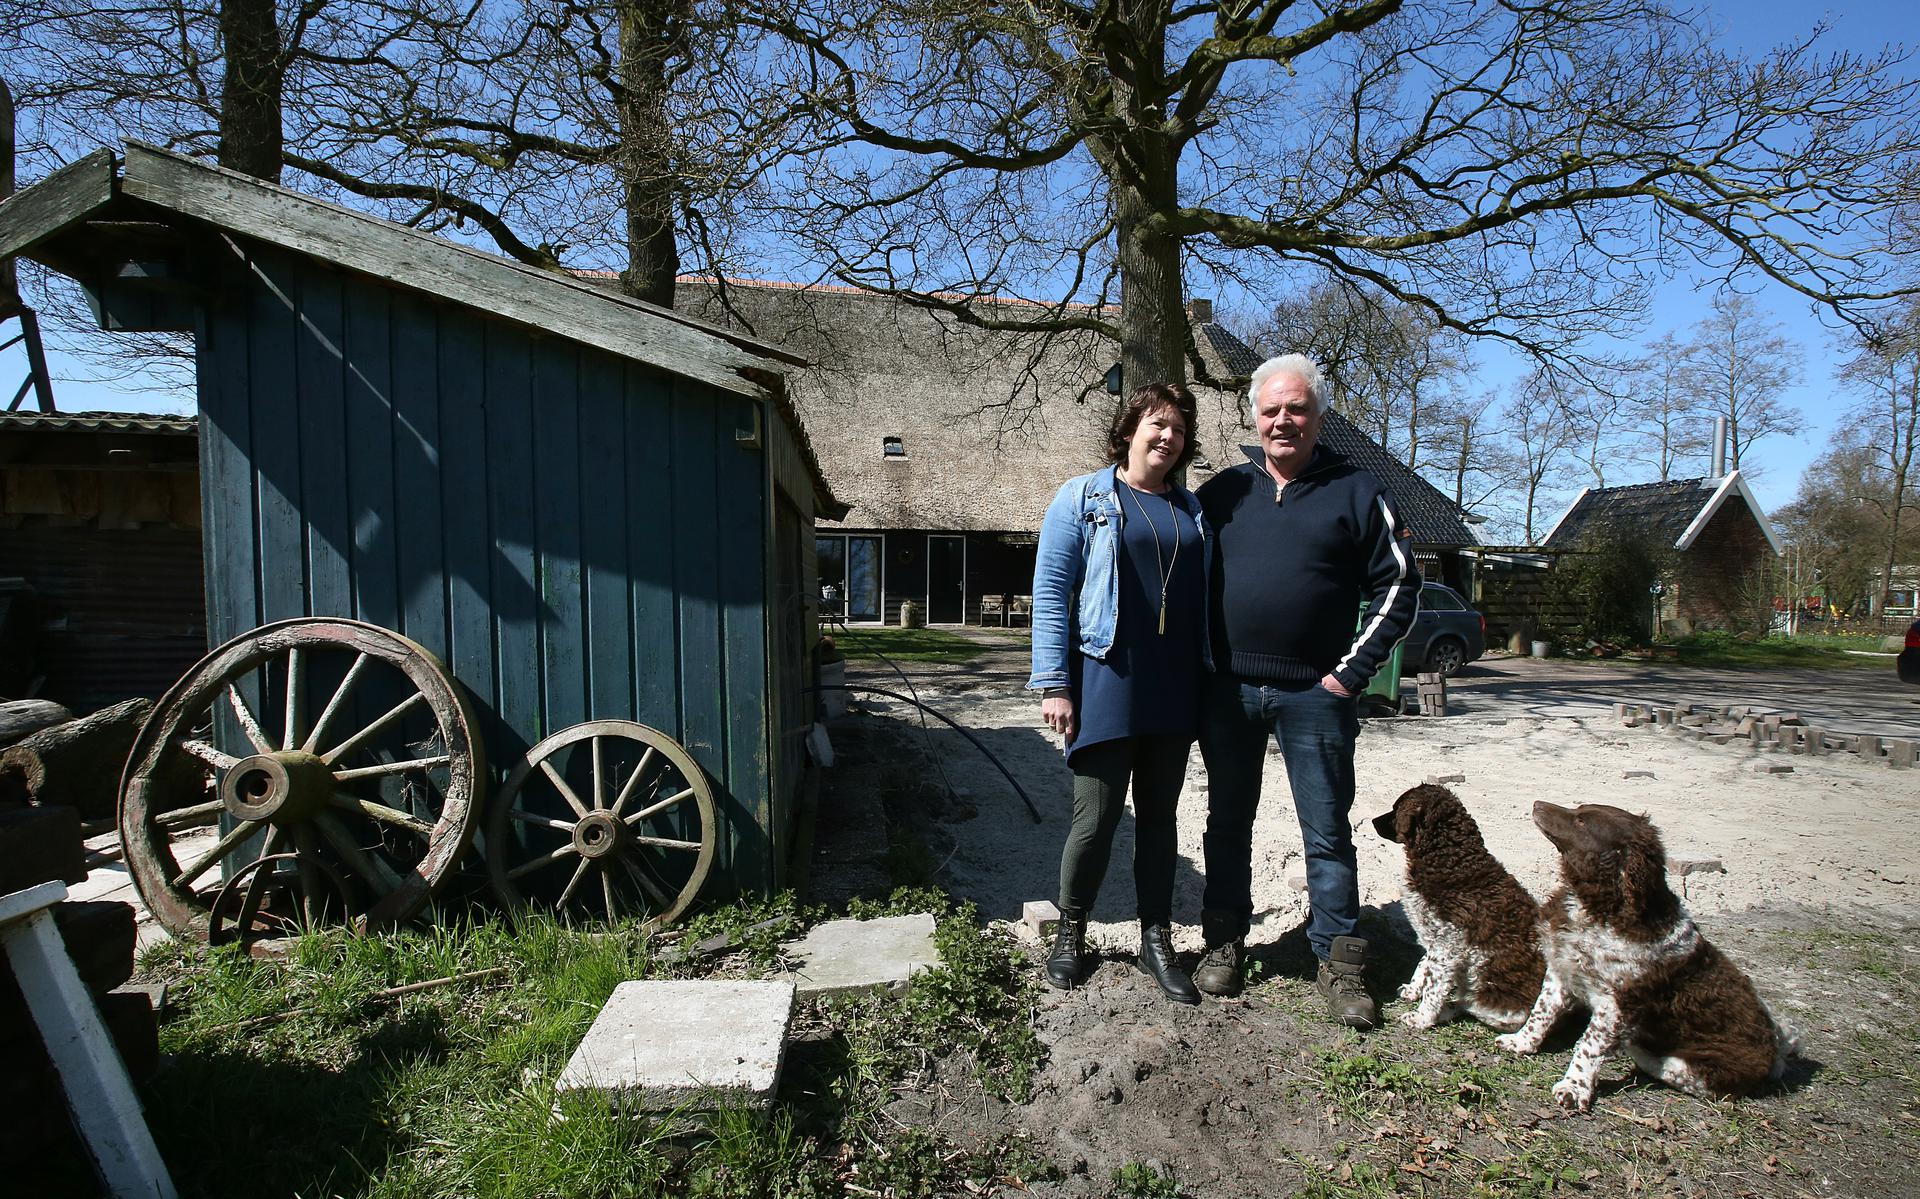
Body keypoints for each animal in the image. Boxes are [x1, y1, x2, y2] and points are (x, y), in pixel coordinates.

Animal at [1367, 787, 1543, 1029]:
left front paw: (1422, 1017)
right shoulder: (1435, 936)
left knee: (1469, 1006)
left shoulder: (1450, 945)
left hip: (1494, 1001)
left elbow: (1434, 987)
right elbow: (1424, 964)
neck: (1452, 860)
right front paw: (1413, 990)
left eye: (1396, 808)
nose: (1373, 821)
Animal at [1489, 799, 1789, 1106]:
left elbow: (1588, 1045)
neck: (1598, 909)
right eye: (1580, 808)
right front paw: (1521, 1042)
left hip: (1706, 1068)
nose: (1537, 803)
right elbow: (1541, 1012)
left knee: (1671, 1070)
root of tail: (1775, 1053)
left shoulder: (1617, 1005)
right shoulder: (1562, 972)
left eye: (1582, 821)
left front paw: (1575, 1087)